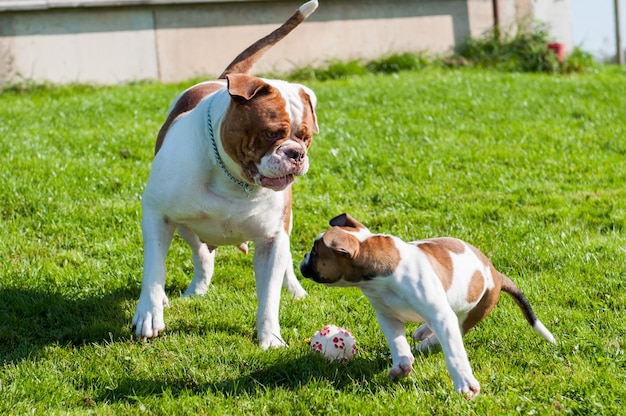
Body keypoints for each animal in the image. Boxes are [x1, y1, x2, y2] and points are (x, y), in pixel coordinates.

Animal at [131, 1, 316, 350]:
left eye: (306, 137)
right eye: (271, 133)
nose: (295, 153)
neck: (233, 180)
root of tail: (221, 80)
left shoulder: (272, 239)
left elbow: (269, 295)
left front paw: (270, 337)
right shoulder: (157, 215)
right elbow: (154, 271)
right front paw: (149, 312)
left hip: (284, 227)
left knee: (283, 263)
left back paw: (295, 289)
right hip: (185, 225)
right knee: (202, 256)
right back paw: (193, 291)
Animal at [300, 213, 552, 398]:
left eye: (315, 251)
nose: (302, 258)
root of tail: (495, 273)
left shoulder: (440, 315)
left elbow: (454, 353)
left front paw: (464, 383)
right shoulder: (387, 316)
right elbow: (397, 342)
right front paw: (402, 364)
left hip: (473, 311)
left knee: (451, 334)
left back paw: (426, 343)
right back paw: (422, 333)